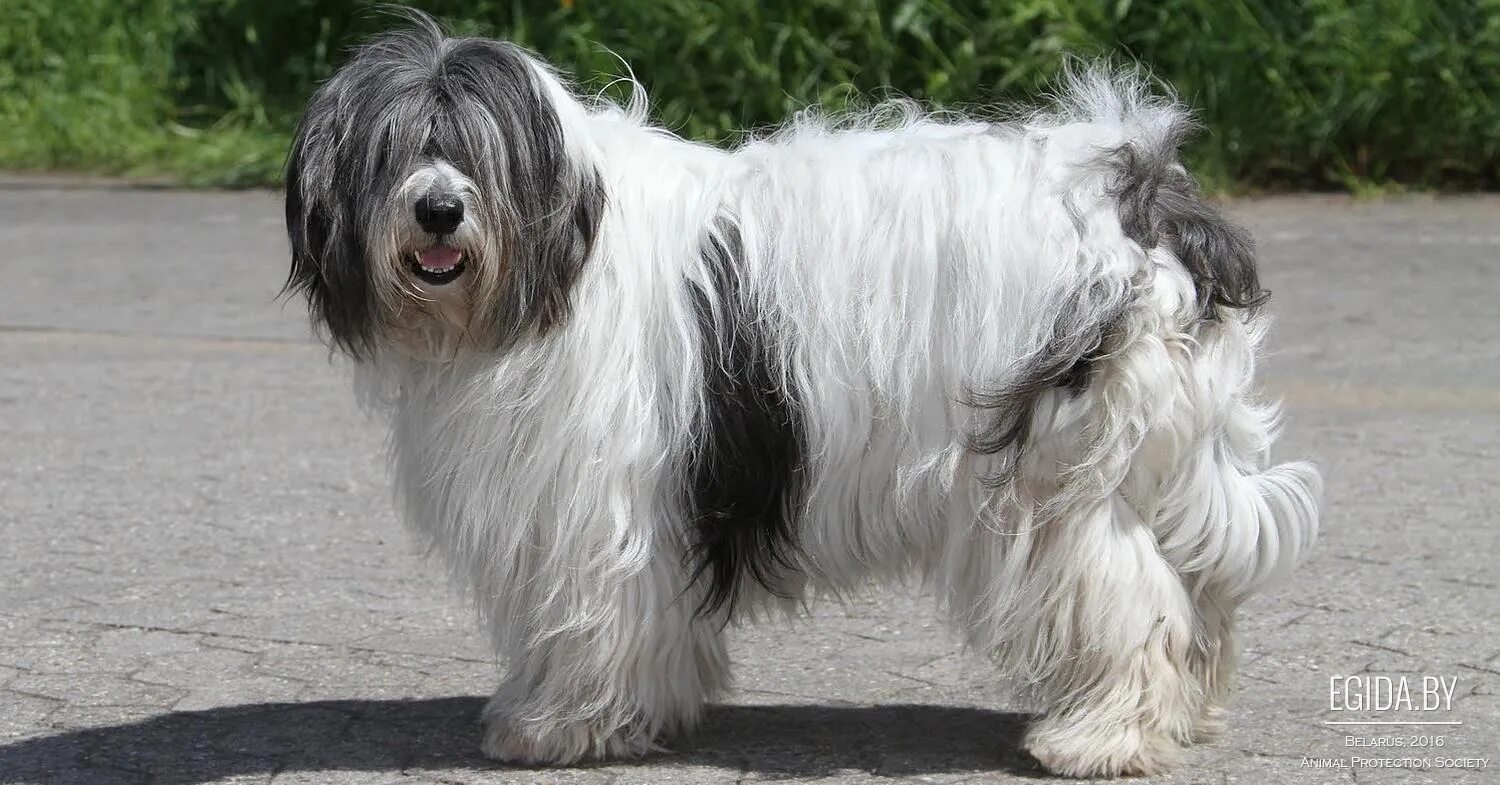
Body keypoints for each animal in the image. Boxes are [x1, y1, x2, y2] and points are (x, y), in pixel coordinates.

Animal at [283, 13, 1326, 780]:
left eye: (471, 151)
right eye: (393, 152)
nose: (438, 209)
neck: (567, 250)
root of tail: (1140, 191)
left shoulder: (596, 505)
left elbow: (593, 617)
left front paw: (560, 724)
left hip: (1053, 474)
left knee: (1131, 599)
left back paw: (1104, 737)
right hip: (1139, 455)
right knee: (1195, 593)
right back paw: (1183, 716)